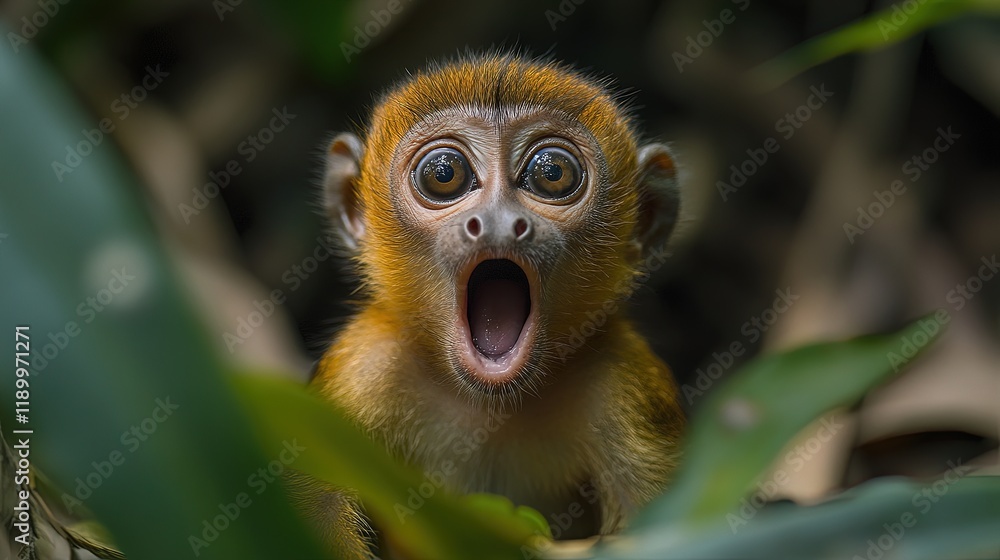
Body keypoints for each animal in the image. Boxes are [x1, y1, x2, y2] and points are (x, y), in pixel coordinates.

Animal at [303, 52, 685, 558]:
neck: (489, 404)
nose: (500, 222)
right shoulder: (362, 371)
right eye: (444, 173)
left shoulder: (627, 385)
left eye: (552, 172)